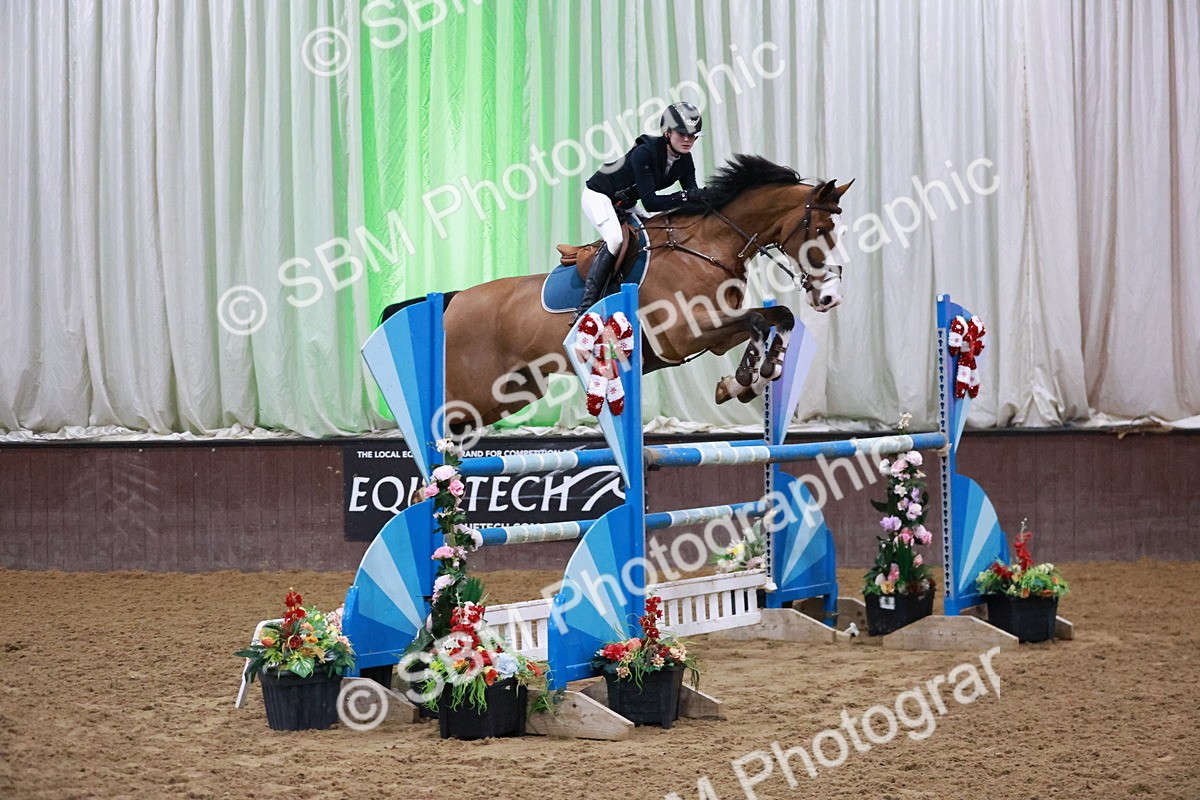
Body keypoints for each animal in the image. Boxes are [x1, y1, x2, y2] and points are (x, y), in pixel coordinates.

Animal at [435, 155, 853, 427]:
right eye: (819, 230)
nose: (831, 297)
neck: (708, 247)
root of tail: (455, 300)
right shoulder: (682, 334)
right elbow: (757, 320)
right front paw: (749, 376)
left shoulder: (716, 334)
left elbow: (775, 317)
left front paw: (751, 377)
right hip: (471, 394)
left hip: (509, 393)